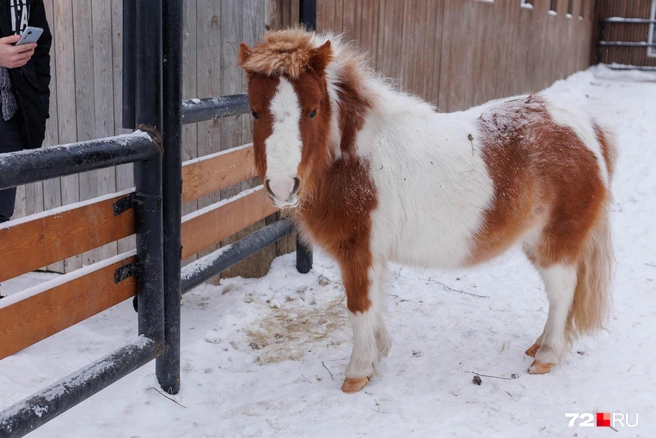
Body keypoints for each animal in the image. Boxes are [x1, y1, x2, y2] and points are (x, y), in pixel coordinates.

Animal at [240, 29, 616, 396]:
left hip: (558, 243)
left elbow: (359, 307)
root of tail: (586, 127)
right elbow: (376, 302)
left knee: (562, 292)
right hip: (536, 242)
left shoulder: (358, 251)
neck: (355, 160)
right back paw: (541, 346)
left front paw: (357, 373)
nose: (282, 187)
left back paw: (546, 356)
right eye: (255, 112)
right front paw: (378, 354)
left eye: (314, 110)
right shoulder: (372, 254)